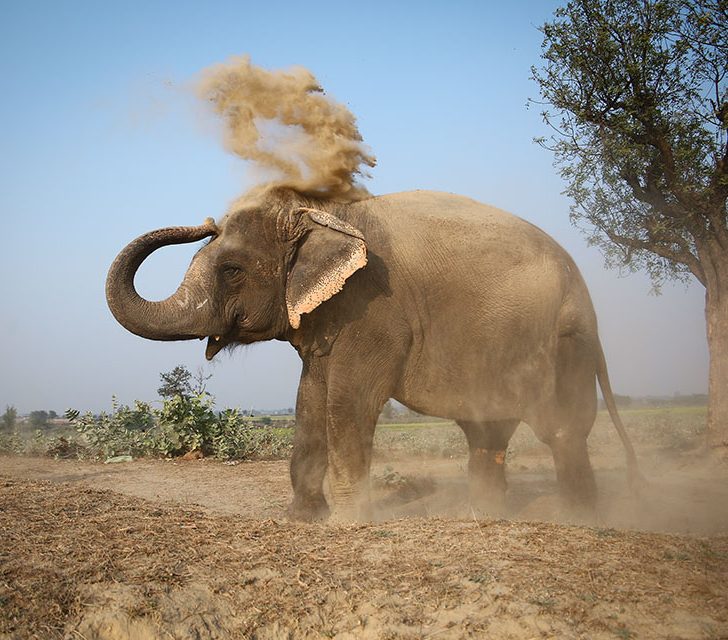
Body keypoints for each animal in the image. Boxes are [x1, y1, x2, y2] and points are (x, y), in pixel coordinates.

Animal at [106, 187, 640, 522]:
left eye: (232, 269)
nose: (205, 222)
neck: (323, 213)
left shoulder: (374, 309)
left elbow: (347, 402)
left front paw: (347, 523)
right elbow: (309, 401)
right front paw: (301, 520)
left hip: (565, 344)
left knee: (562, 430)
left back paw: (579, 518)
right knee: (488, 433)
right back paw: (485, 515)